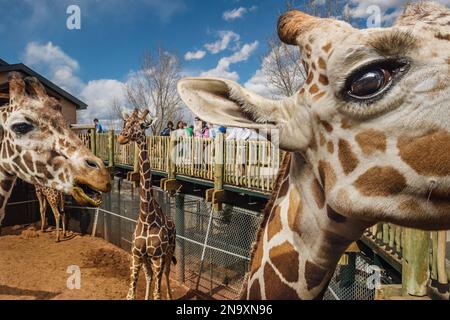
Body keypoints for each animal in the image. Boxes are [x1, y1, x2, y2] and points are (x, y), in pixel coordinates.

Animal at [117, 109, 177, 300]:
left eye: (142, 125)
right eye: (126, 122)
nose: (121, 137)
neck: (146, 217)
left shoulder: (157, 257)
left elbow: (158, 293)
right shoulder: (136, 255)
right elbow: (131, 293)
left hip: (169, 252)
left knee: (165, 274)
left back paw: (170, 296)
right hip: (147, 259)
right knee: (150, 275)